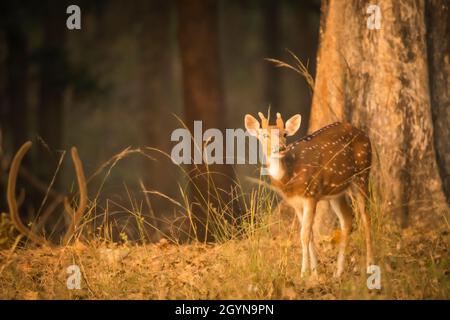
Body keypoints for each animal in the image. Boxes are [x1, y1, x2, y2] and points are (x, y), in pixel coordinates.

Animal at [246, 112, 372, 278]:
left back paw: (370, 266)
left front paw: (303, 273)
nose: (281, 148)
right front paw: (315, 273)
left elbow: (304, 235)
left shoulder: (311, 194)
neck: (290, 177)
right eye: (265, 135)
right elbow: (310, 234)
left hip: (362, 174)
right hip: (336, 191)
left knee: (366, 218)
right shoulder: (295, 202)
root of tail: (365, 134)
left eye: (285, 134)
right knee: (347, 218)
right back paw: (338, 273)